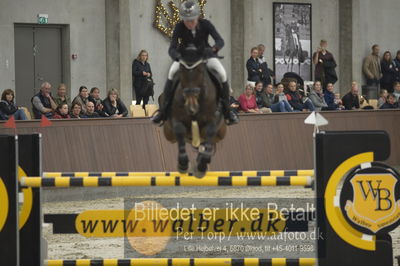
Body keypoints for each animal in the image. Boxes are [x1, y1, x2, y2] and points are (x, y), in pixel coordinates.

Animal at [162, 47, 225, 178]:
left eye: (200, 71)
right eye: (181, 71)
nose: (192, 107)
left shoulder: (213, 120)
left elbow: (210, 133)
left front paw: (201, 166)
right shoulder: (176, 119)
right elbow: (180, 131)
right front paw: (183, 165)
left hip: (220, 133)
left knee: (208, 142)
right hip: (169, 134)